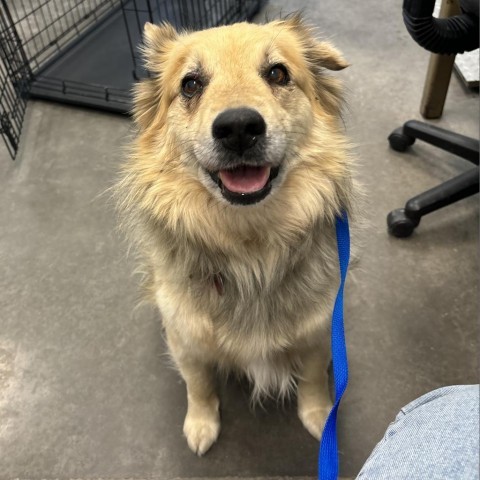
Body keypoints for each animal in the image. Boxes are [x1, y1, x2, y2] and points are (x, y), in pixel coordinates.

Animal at [116, 15, 356, 456]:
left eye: (277, 73)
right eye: (190, 84)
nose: (239, 127)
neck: (251, 247)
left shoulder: (318, 333)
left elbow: (314, 379)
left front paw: (319, 415)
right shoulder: (186, 340)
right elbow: (198, 385)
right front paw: (201, 423)